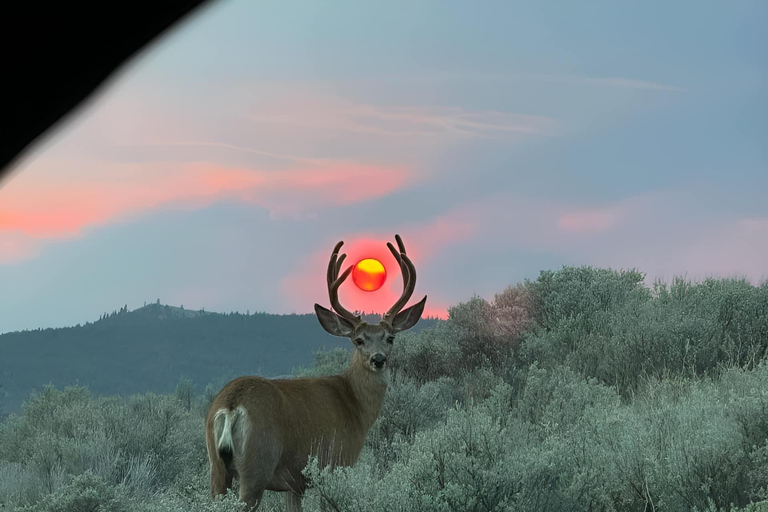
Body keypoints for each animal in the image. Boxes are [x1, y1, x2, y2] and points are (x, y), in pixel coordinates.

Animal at [206, 236, 426, 512]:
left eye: (390, 338)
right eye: (358, 340)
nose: (378, 359)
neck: (354, 405)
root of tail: (231, 406)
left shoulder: (293, 485)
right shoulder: (336, 463)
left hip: (217, 468)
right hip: (256, 465)